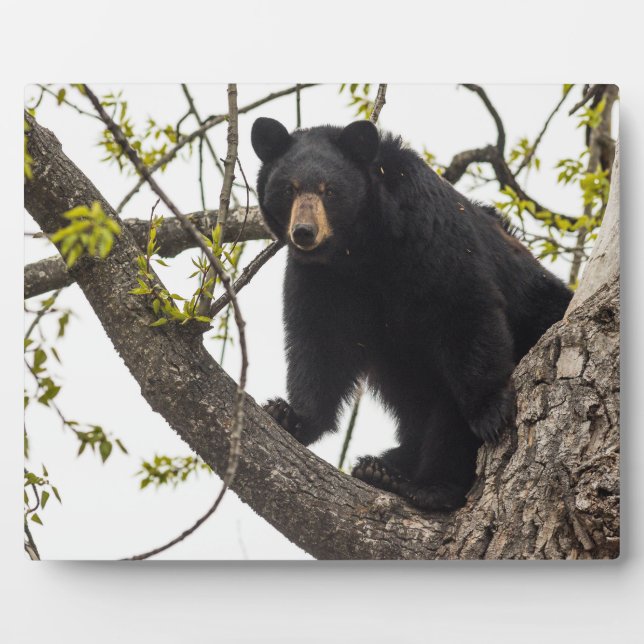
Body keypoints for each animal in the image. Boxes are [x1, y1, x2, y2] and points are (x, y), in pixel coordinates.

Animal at [251, 116, 572, 512]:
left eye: (330, 191)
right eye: (289, 189)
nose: (304, 233)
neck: (361, 250)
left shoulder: (429, 235)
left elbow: (464, 309)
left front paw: (490, 411)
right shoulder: (322, 279)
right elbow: (320, 342)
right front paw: (290, 415)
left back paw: (425, 485)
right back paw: (382, 467)